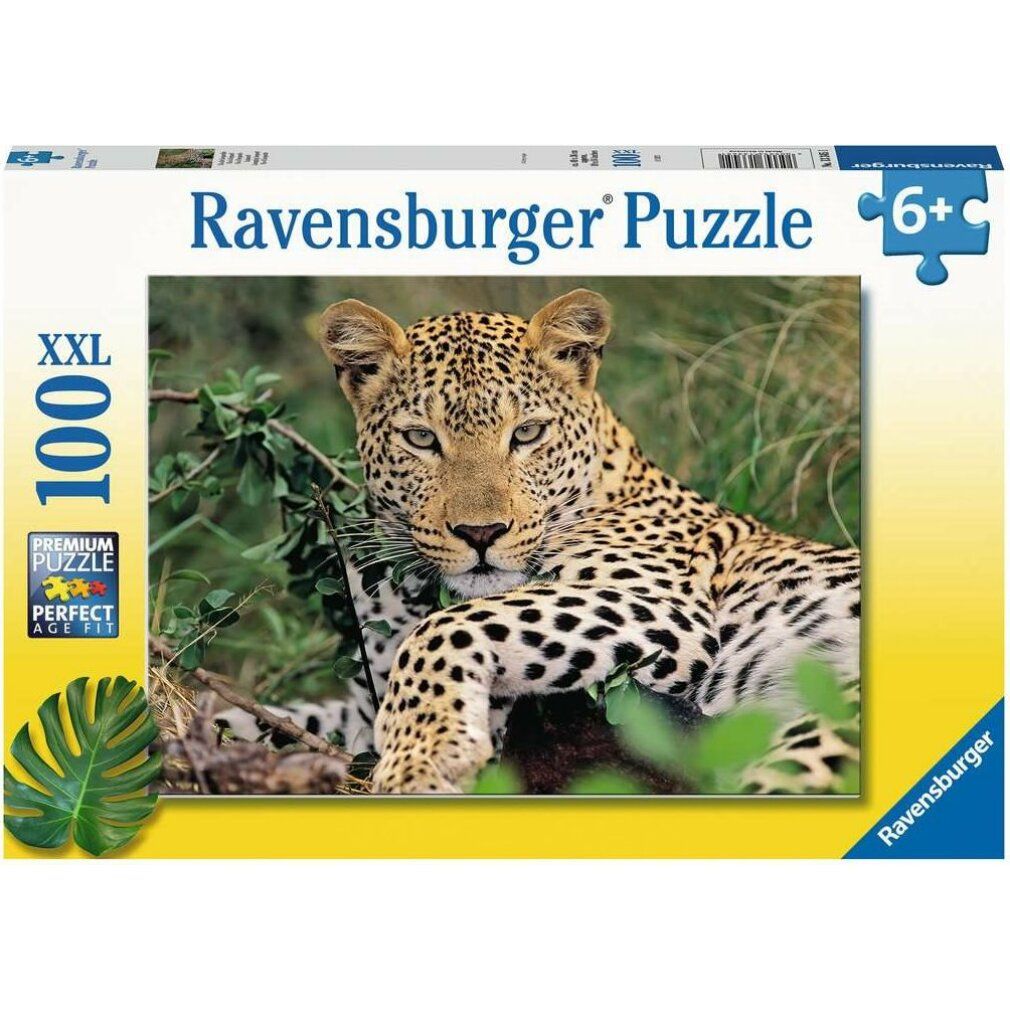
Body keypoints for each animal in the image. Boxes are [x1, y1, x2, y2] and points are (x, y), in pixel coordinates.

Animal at [216, 289, 860, 794]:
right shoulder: (360, 702)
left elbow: (447, 627)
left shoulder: (665, 610)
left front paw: (423, 757)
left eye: (527, 433)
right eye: (421, 439)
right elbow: (276, 716)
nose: (480, 533)